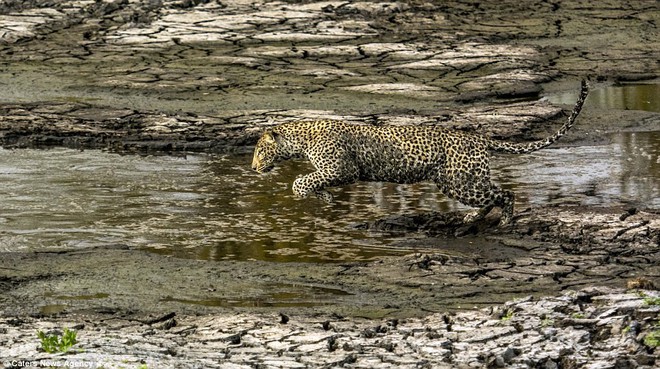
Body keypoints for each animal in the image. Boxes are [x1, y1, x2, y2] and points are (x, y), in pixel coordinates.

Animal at [251, 80, 588, 224]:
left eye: (259, 151)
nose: (253, 168)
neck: (300, 139)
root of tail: (478, 138)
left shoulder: (341, 169)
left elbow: (301, 181)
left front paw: (309, 194)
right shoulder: (336, 173)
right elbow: (314, 180)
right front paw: (324, 197)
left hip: (462, 180)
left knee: (504, 193)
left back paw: (505, 220)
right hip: (457, 181)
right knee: (491, 194)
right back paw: (474, 217)